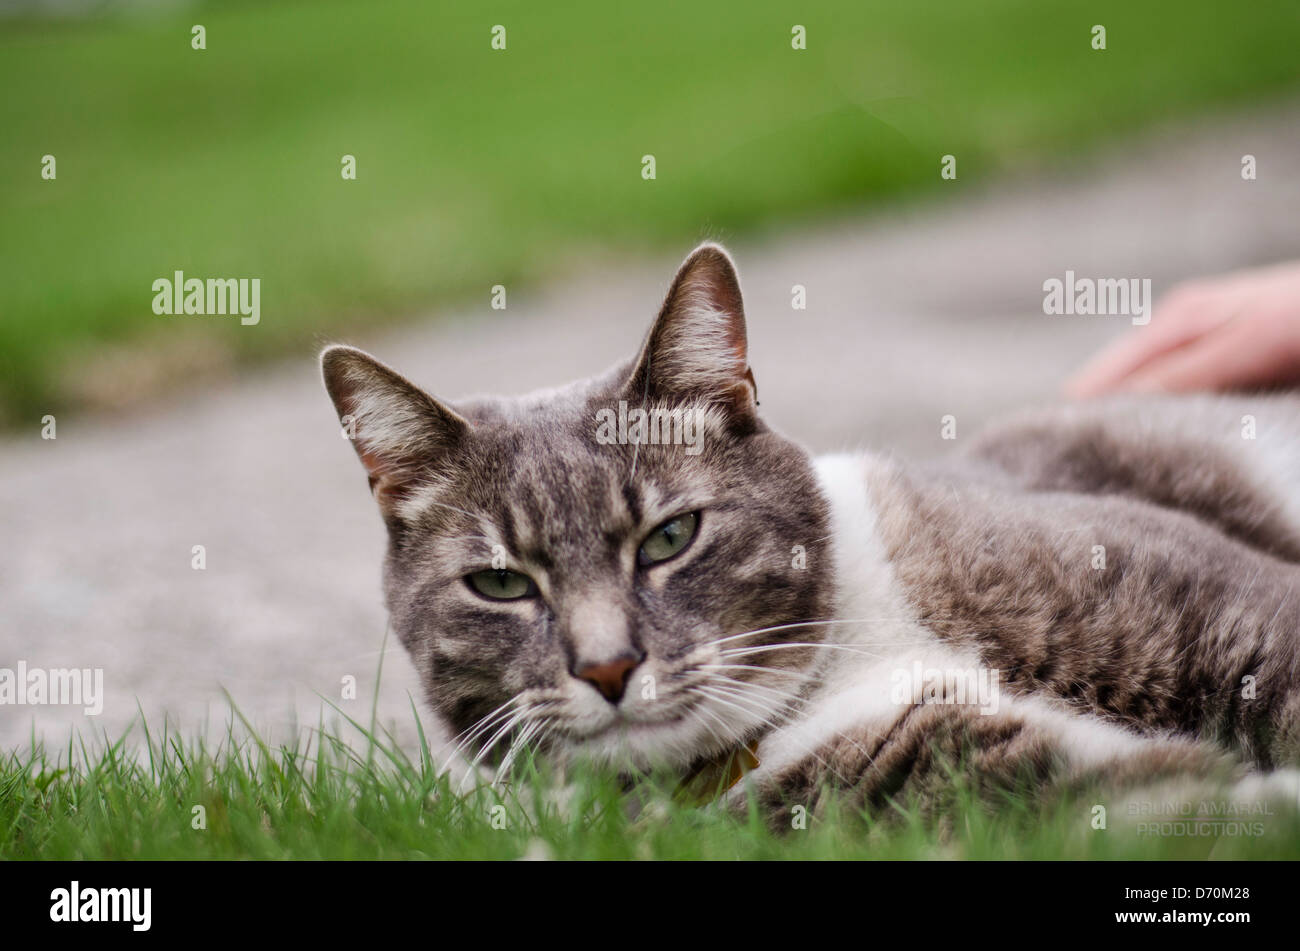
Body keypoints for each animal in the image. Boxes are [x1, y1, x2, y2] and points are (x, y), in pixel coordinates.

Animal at [319, 242, 1300, 826]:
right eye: (501, 583)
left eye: (670, 537)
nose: (605, 667)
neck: (831, 673)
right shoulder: (961, 784)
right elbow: (1181, 806)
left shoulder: (1209, 613)